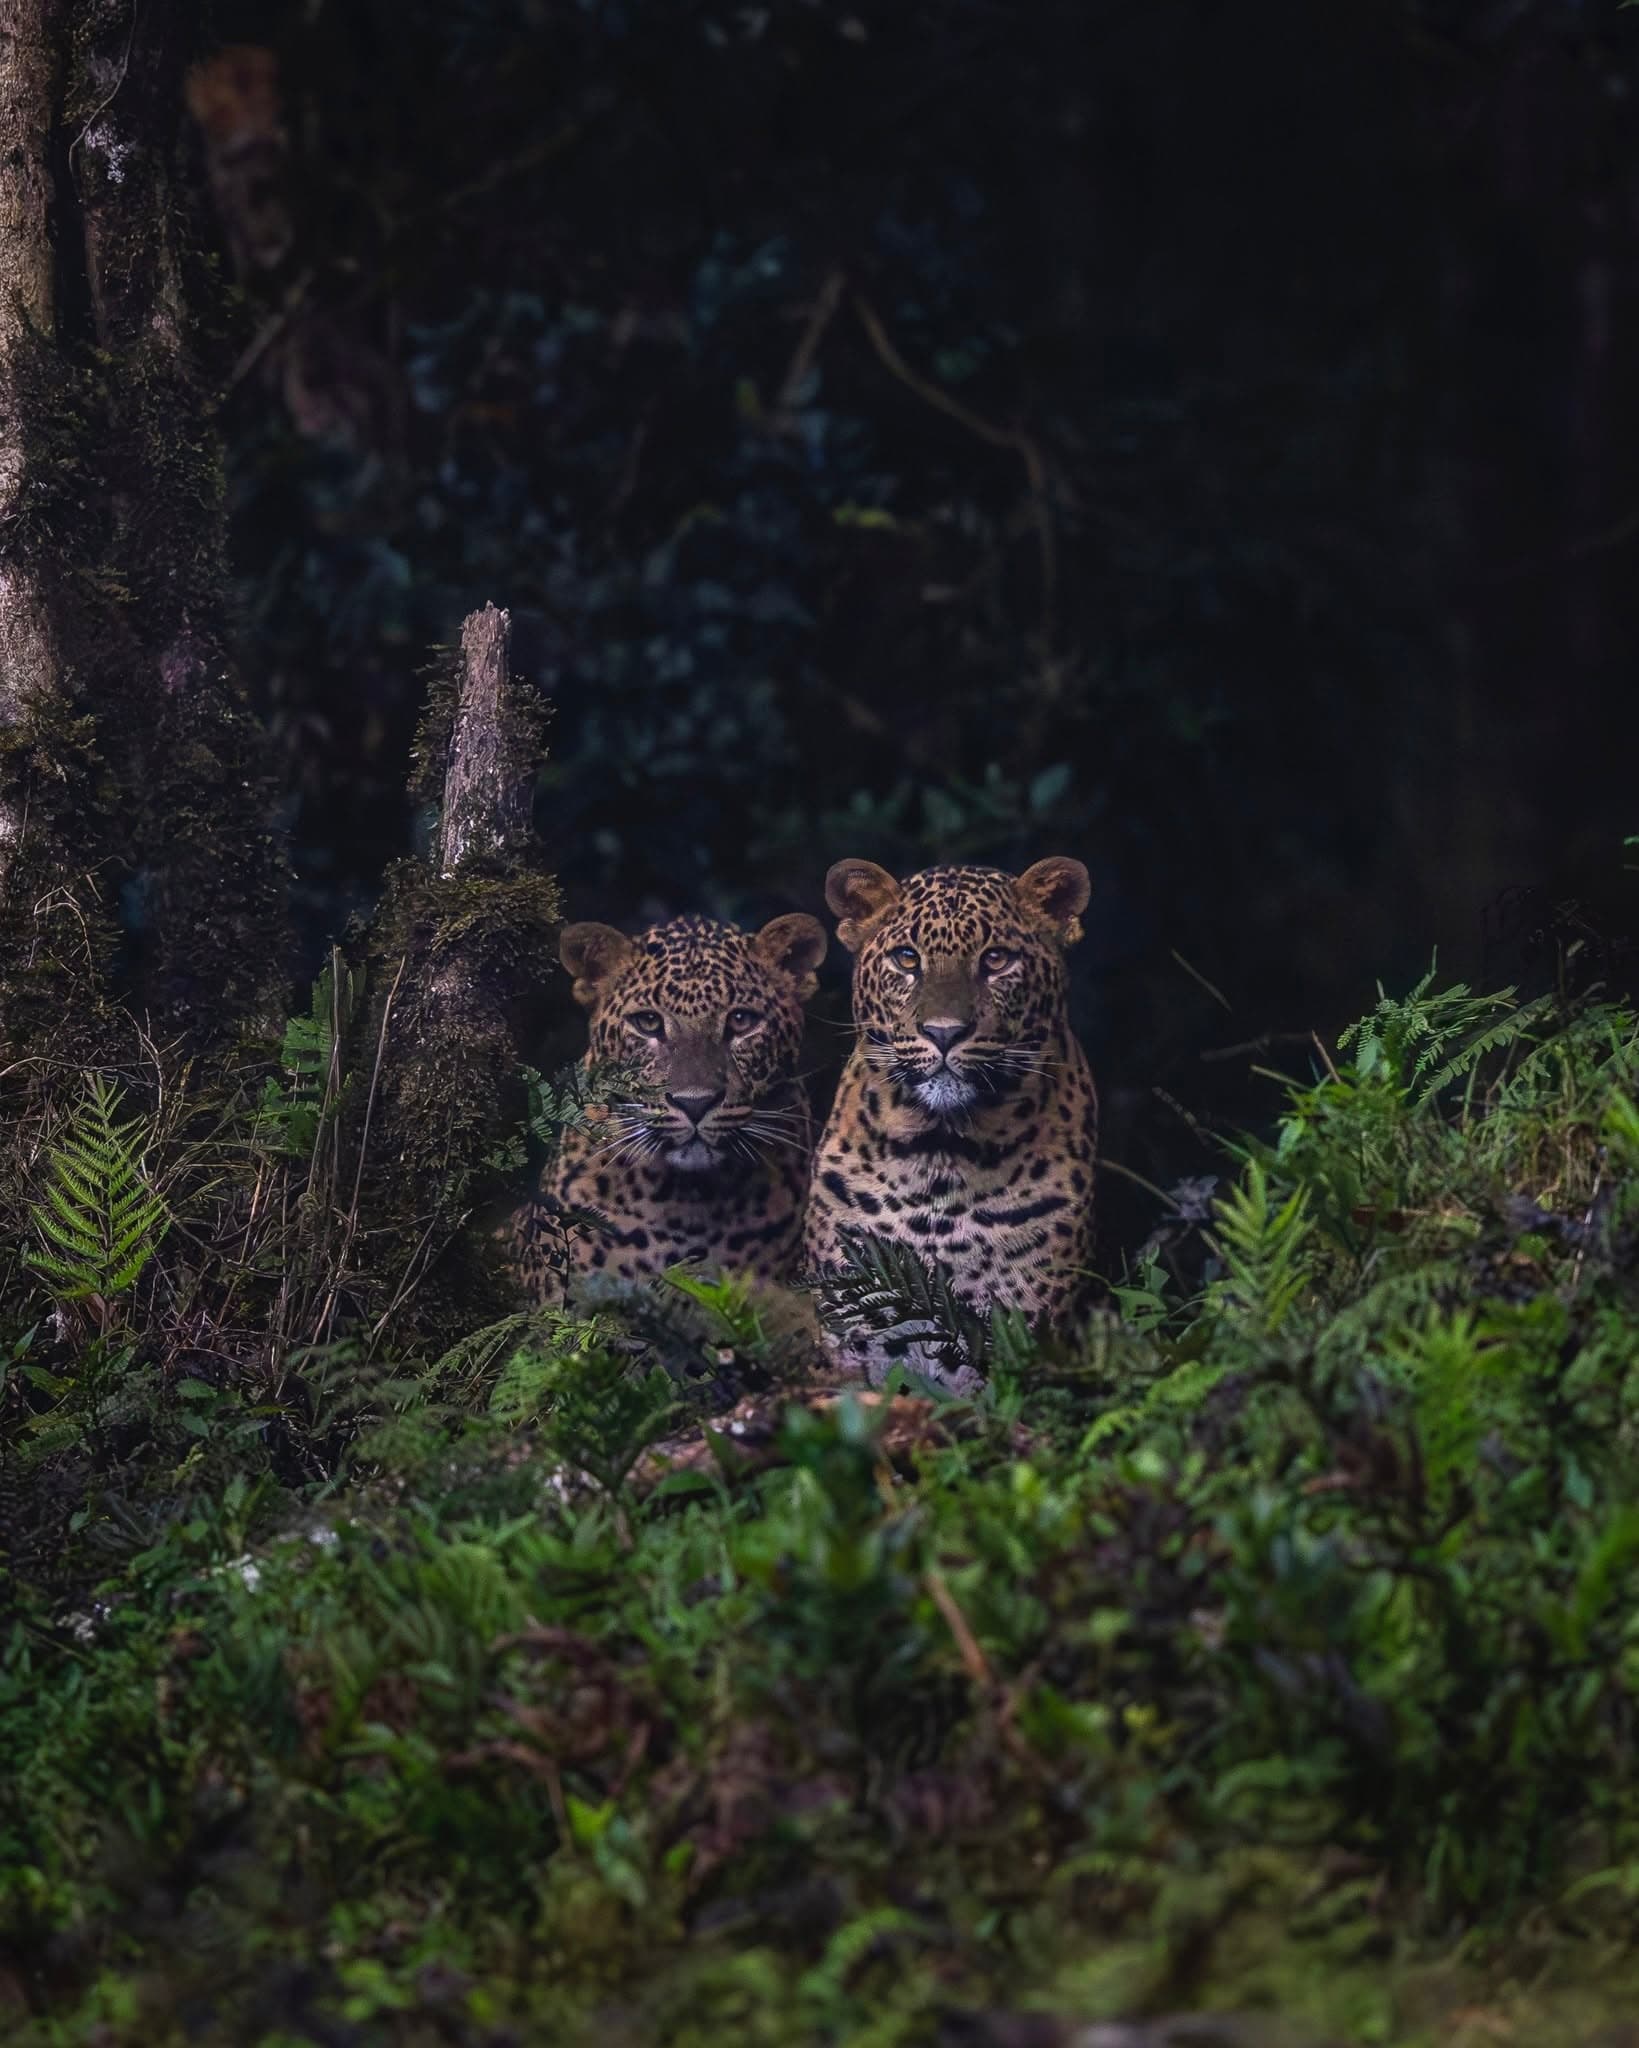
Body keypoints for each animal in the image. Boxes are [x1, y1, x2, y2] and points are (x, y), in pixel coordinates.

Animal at [801, 857, 1098, 1387]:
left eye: (996, 960)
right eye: (906, 959)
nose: (944, 1033)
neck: (938, 1156)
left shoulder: (1016, 1332)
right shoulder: (852, 1333)